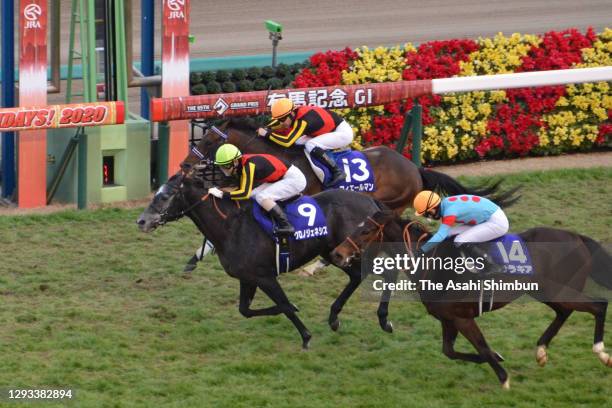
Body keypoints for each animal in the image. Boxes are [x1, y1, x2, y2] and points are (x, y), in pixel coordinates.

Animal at [139, 172, 404, 348]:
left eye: (164, 196)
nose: (141, 221)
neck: (231, 227)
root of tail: (371, 202)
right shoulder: (247, 278)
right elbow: (245, 310)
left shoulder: (265, 276)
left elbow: (285, 304)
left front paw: (306, 336)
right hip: (336, 253)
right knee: (362, 275)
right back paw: (338, 318)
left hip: (353, 251)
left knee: (381, 272)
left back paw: (381, 320)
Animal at [330, 210, 612, 388]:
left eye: (366, 231)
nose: (337, 254)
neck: (430, 264)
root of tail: (576, 236)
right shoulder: (447, 319)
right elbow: (451, 351)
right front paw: (499, 358)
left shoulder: (462, 317)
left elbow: (481, 346)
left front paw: (503, 378)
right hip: (544, 290)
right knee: (564, 312)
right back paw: (541, 351)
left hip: (559, 290)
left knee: (598, 305)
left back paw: (601, 352)